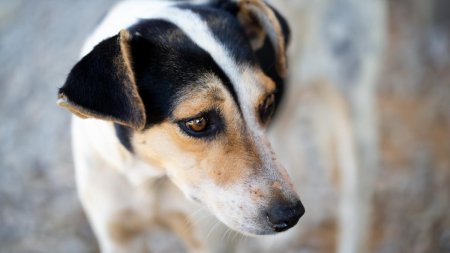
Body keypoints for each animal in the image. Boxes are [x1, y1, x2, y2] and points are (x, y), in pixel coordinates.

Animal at [55, 0, 302, 252]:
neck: (147, 175)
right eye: (197, 123)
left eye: (268, 103)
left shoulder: (206, 241)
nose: (292, 215)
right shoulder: (117, 235)